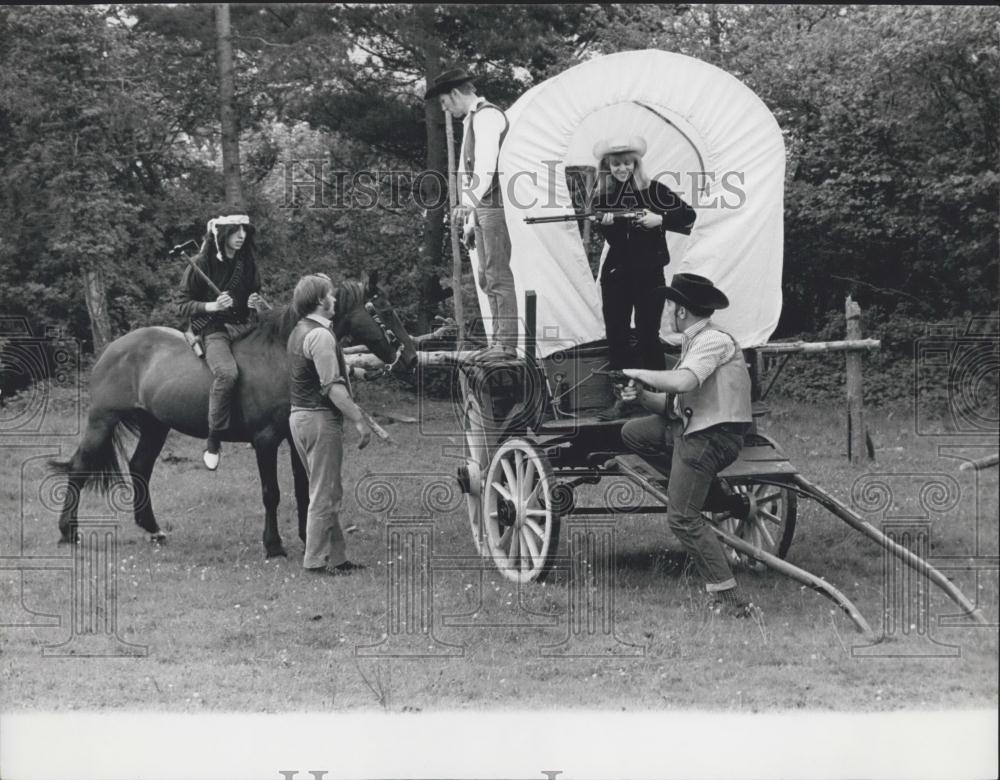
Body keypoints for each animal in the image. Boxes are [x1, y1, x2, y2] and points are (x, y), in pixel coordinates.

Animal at [49, 278, 402, 556]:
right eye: (384, 311)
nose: (407, 356)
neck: (282, 355)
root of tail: (111, 349)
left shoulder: (294, 437)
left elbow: (303, 488)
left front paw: (305, 537)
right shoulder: (265, 441)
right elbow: (271, 493)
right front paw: (273, 545)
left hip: (155, 427)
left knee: (139, 468)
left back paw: (152, 529)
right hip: (102, 420)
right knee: (79, 468)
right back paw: (68, 531)